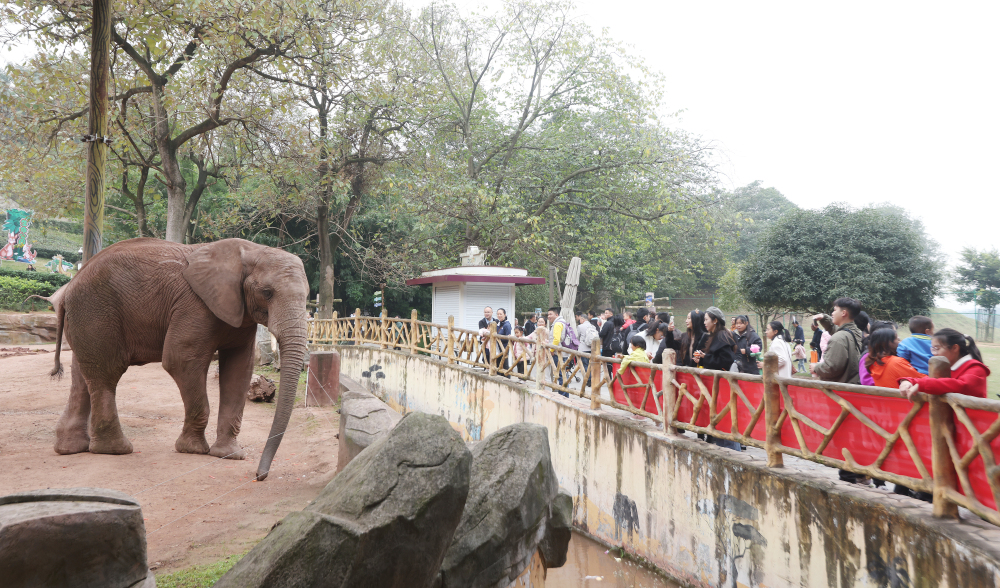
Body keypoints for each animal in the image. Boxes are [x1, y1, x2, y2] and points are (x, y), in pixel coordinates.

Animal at [45, 237, 308, 480]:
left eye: (307, 297)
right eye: (267, 293)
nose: (260, 476)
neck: (250, 250)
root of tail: (67, 290)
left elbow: (239, 369)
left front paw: (230, 455)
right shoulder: (195, 306)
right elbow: (181, 359)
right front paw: (192, 450)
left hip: (86, 318)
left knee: (82, 376)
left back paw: (71, 449)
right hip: (96, 312)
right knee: (106, 374)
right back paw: (116, 449)